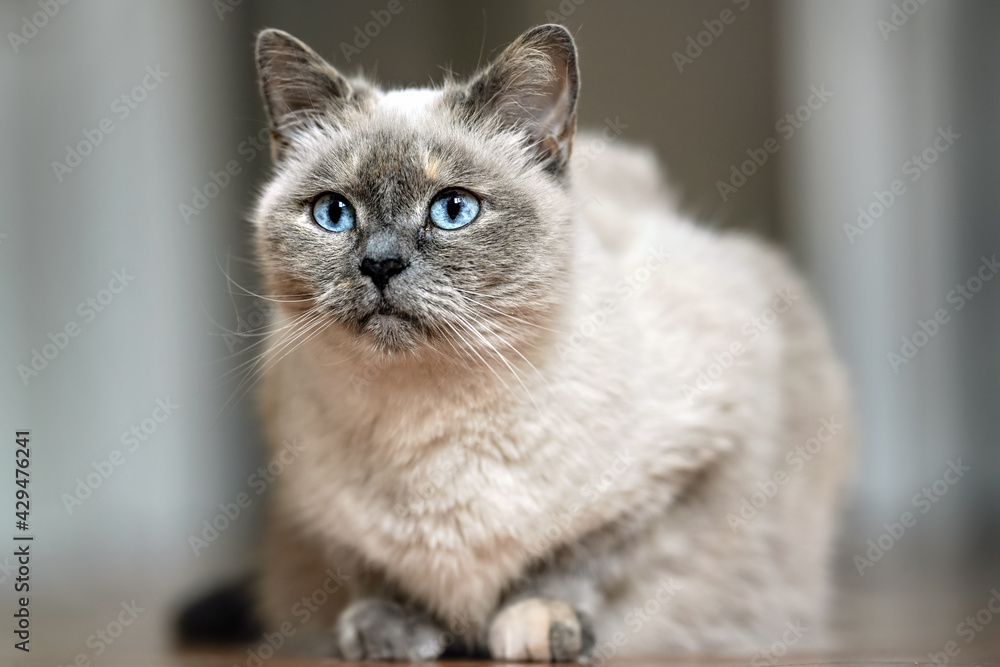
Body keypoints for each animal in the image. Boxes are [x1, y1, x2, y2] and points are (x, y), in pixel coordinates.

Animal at [246, 23, 856, 660]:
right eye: (334, 213)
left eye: (453, 209)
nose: (380, 264)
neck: (425, 418)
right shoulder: (321, 515)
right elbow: (374, 569)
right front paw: (385, 632)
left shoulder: (675, 472)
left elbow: (569, 561)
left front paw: (537, 624)